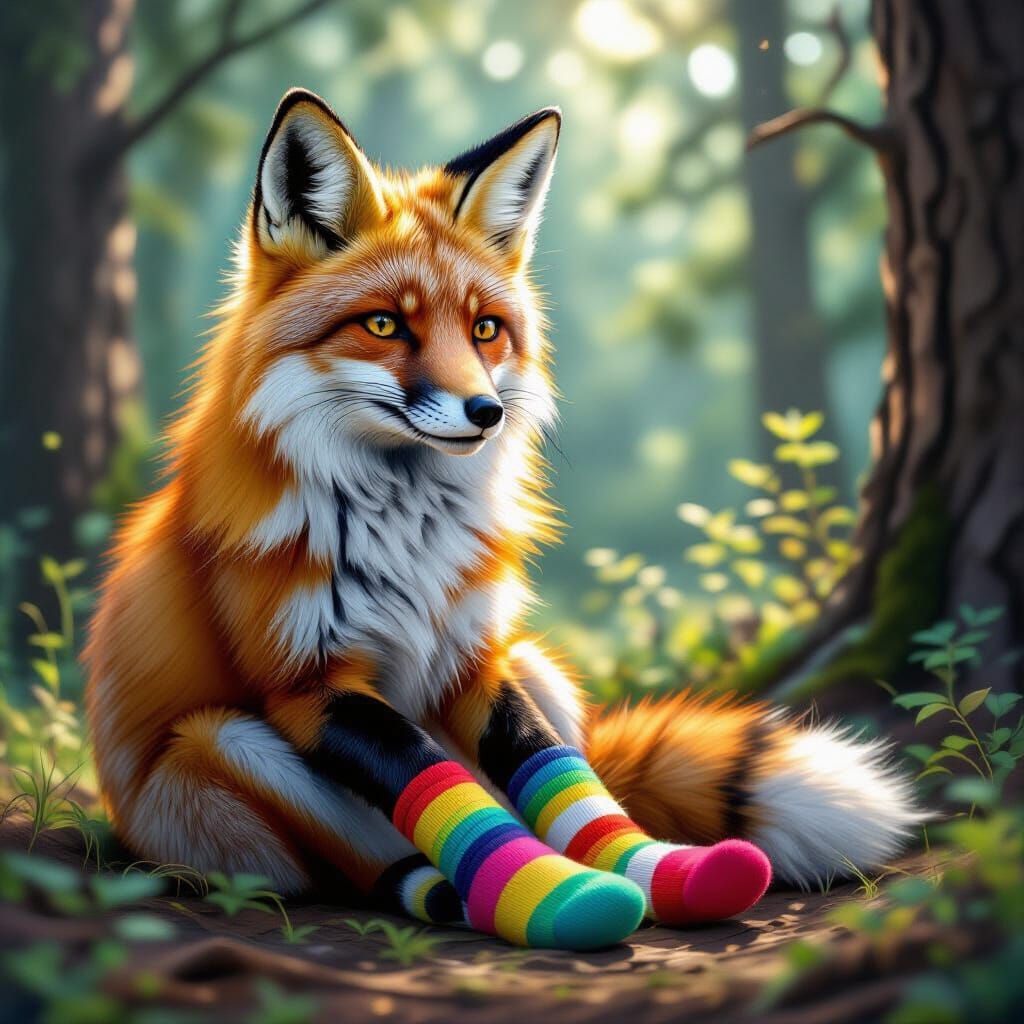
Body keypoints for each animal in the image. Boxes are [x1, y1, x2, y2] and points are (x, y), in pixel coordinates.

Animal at [85, 89, 919, 950]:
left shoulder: (471, 657)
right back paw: (479, 900)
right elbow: (431, 779)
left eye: (485, 329)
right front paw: (562, 897)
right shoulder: (309, 683)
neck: (402, 530)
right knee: (371, 865)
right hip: (222, 742)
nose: (485, 412)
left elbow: (549, 768)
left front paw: (651, 869)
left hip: (539, 664)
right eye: (385, 325)